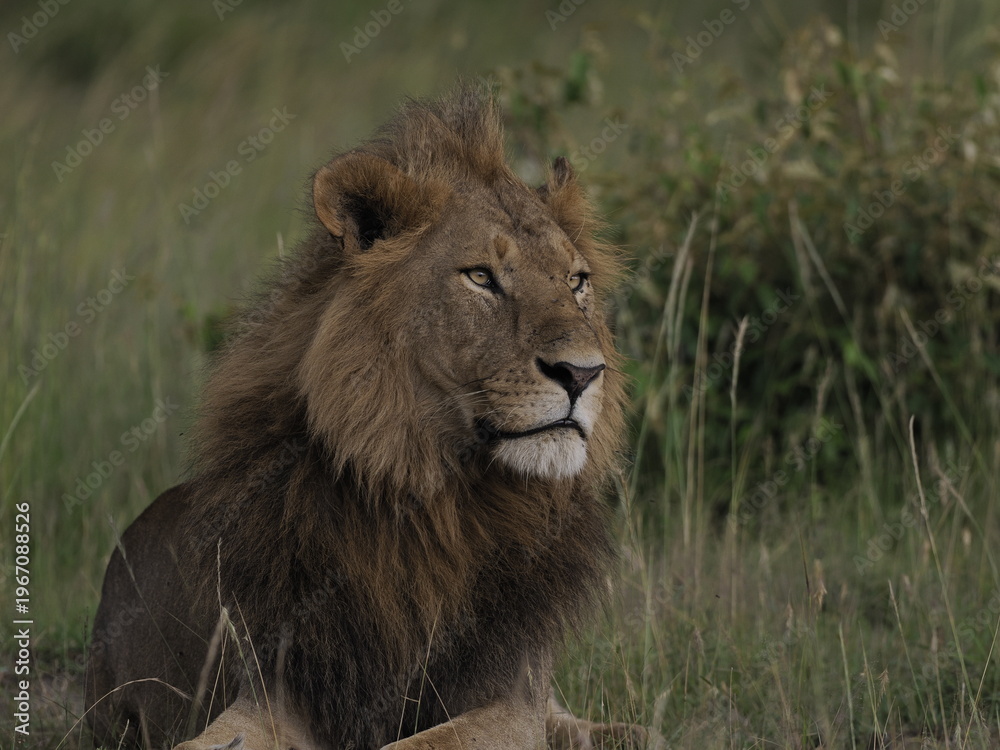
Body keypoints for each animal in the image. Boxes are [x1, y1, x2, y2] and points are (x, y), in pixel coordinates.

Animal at [84, 87, 644, 750]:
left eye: (576, 281)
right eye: (481, 277)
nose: (584, 373)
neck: (435, 495)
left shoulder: (516, 700)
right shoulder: (273, 686)